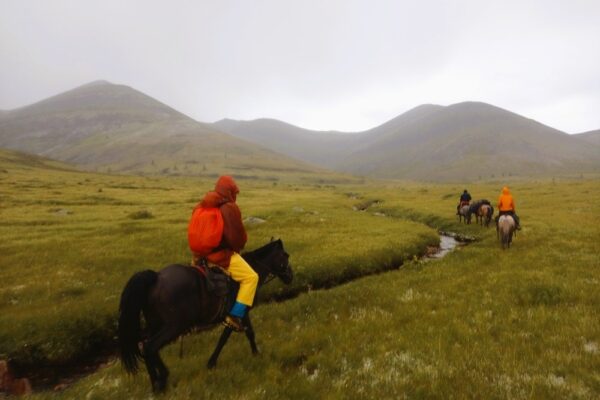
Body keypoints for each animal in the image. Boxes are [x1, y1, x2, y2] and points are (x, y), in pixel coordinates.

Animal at [116, 239, 292, 392]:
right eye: (286, 255)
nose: (291, 276)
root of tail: (156, 278)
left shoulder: (239, 314)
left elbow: (246, 333)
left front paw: (253, 353)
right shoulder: (238, 313)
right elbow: (232, 336)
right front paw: (215, 361)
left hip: (155, 324)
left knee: (144, 346)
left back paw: (156, 384)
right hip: (173, 326)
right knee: (150, 346)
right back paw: (163, 379)